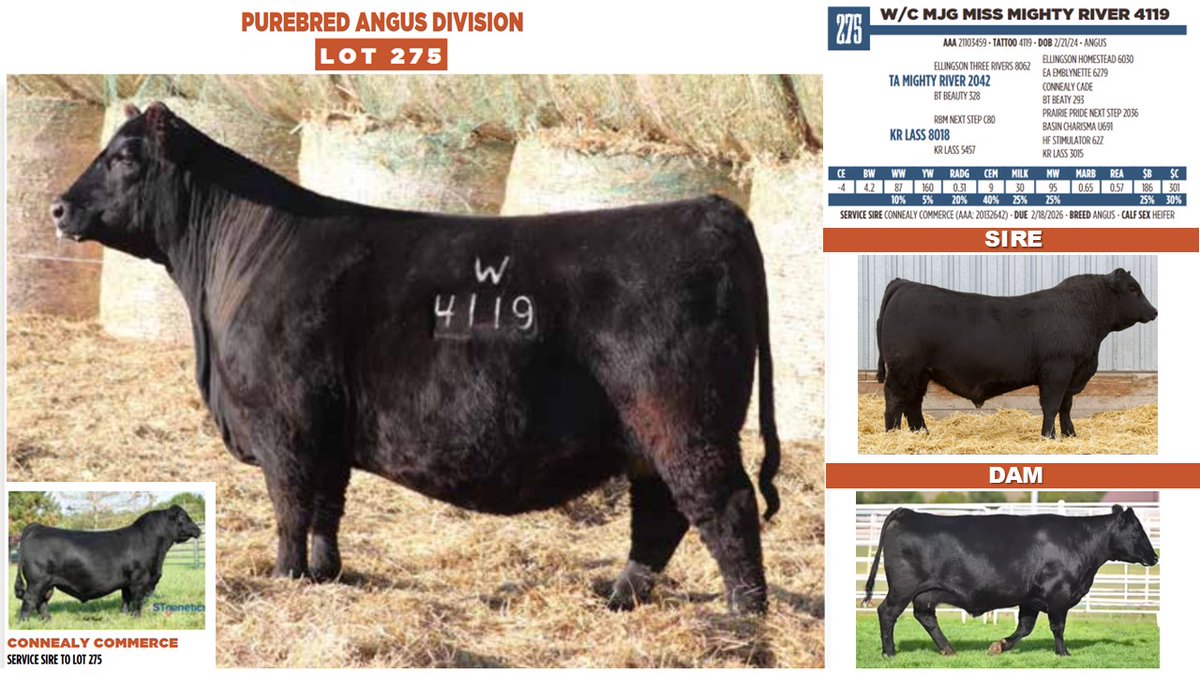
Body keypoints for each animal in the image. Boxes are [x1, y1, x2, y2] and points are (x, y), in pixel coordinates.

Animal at [14, 505, 202, 620]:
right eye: (183, 518)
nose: (198, 529)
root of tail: (36, 527)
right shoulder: (139, 580)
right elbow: (137, 601)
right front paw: (137, 618)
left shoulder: (127, 582)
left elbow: (126, 600)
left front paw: (124, 616)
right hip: (37, 581)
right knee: (29, 600)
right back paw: (26, 623)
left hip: (48, 583)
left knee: (42, 602)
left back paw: (48, 621)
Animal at [50, 102, 783, 614]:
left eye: (124, 157)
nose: (58, 206)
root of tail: (711, 209)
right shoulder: (329, 430)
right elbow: (327, 509)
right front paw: (327, 576)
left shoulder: (285, 424)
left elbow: (290, 508)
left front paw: (286, 578)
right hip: (649, 437)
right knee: (661, 514)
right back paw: (619, 596)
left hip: (685, 423)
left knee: (723, 507)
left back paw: (746, 618)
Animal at [862, 505, 1158, 657]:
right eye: (1138, 531)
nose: (1155, 557)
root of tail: (907, 512)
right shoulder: (1058, 595)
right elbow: (1058, 627)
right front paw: (1063, 654)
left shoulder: (1031, 599)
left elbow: (1024, 628)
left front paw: (998, 646)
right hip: (903, 587)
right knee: (887, 612)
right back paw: (889, 653)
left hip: (926, 592)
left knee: (925, 616)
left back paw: (948, 650)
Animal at [875, 270, 1157, 438]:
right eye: (1133, 289)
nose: (1154, 311)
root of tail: (905, 284)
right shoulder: (1057, 371)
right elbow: (1051, 405)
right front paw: (1048, 437)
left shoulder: (1072, 375)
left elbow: (1065, 407)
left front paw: (1070, 435)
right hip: (903, 368)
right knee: (895, 400)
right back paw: (893, 435)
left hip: (920, 372)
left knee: (913, 402)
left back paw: (921, 433)